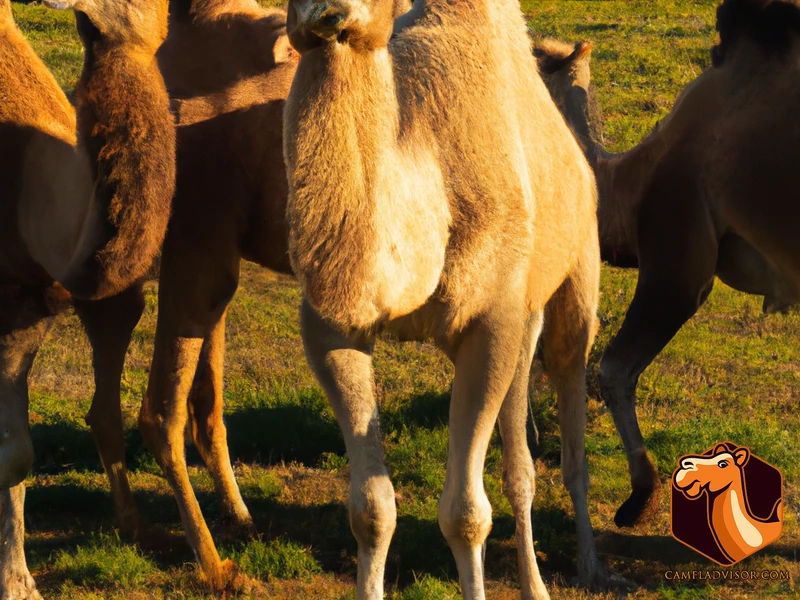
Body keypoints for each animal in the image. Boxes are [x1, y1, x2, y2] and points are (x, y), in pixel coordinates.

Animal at [284, 0, 604, 596]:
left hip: (576, 275)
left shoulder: (489, 323)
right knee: (521, 452)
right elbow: (371, 510)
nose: (325, 13)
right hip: (526, 317)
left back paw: (588, 567)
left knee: (568, 392)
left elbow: (465, 513)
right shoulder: (331, 327)